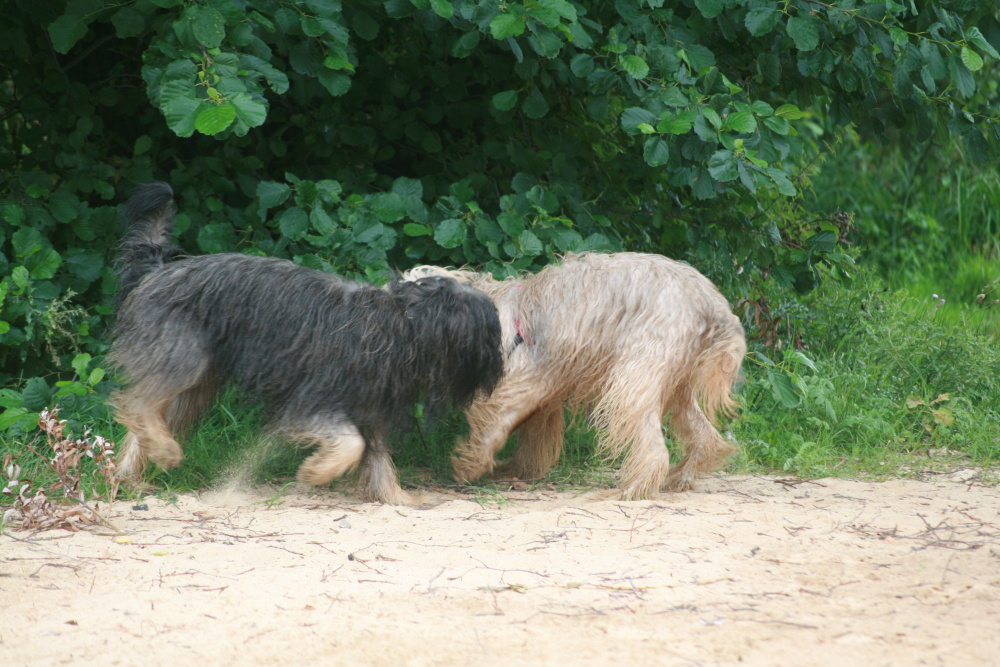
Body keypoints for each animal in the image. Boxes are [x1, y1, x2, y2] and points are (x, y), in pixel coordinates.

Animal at [110, 180, 504, 504]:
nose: (500, 365)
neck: (400, 323)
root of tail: (160, 271)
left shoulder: (371, 409)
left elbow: (377, 458)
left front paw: (399, 498)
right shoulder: (313, 400)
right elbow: (352, 444)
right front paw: (316, 471)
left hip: (197, 383)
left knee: (145, 422)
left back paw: (129, 476)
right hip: (182, 354)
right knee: (139, 403)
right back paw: (163, 451)